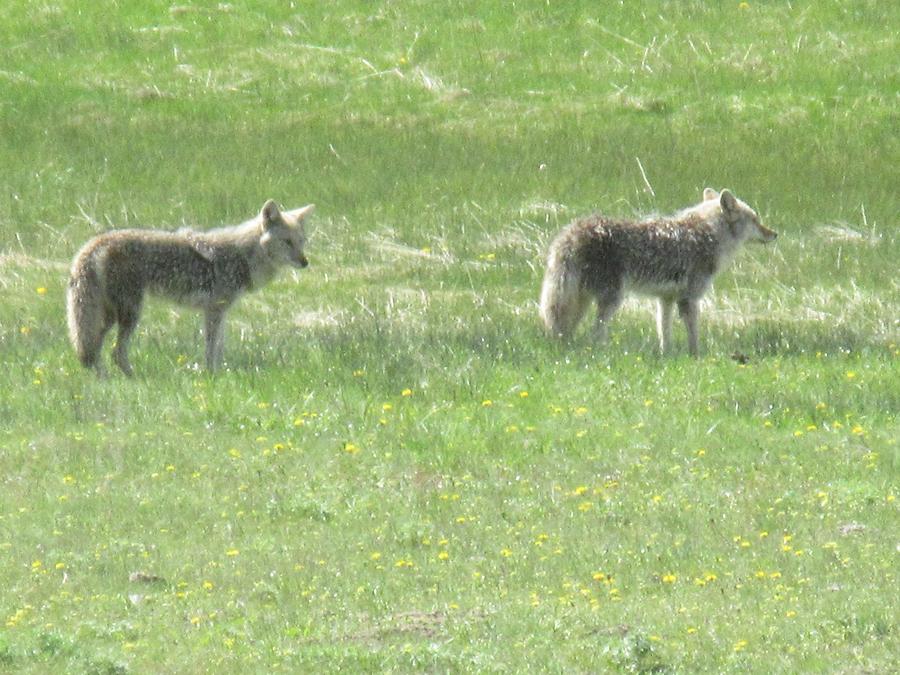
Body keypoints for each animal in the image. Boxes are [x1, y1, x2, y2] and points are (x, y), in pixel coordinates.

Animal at [67, 198, 312, 378]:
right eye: (286, 242)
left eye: (302, 241)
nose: (305, 262)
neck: (244, 255)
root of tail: (94, 243)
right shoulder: (214, 310)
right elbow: (211, 350)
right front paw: (212, 377)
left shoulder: (220, 311)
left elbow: (219, 348)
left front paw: (220, 375)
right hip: (129, 314)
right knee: (113, 352)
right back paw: (134, 379)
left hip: (110, 316)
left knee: (93, 350)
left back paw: (105, 379)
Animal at [536, 189, 776, 356]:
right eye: (756, 220)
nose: (775, 234)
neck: (708, 234)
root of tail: (571, 233)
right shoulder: (689, 299)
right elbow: (693, 335)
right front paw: (696, 358)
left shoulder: (665, 299)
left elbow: (664, 332)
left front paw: (665, 356)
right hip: (611, 299)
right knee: (595, 334)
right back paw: (602, 353)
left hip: (581, 301)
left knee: (568, 332)